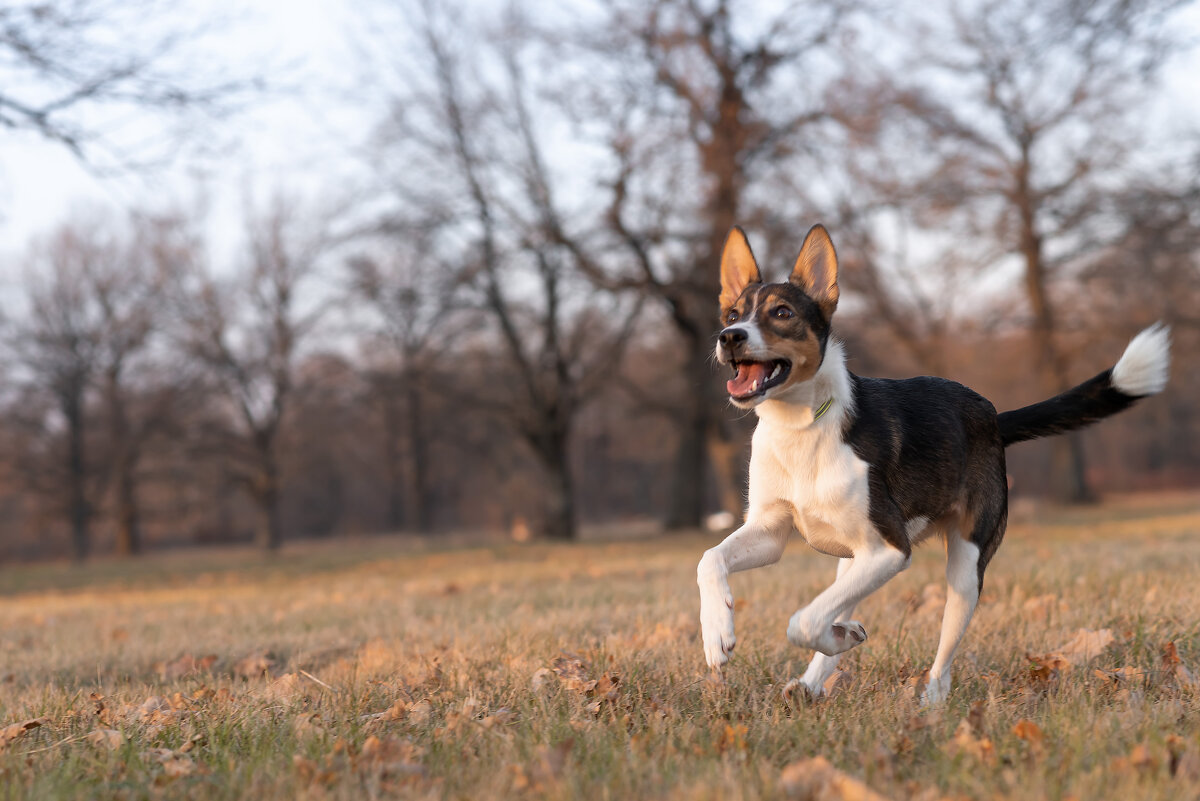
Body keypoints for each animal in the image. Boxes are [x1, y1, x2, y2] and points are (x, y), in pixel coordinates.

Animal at [700, 224, 1166, 700]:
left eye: (782, 312)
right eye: (732, 314)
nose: (730, 337)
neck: (801, 425)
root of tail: (993, 417)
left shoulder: (891, 550)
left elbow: (803, 620)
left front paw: (841, 636)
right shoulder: (772, 531)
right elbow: (710, 560)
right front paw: (717, 635)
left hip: (964, 568)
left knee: (940, 657)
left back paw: (927, 698)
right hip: (854, 560)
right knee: (835, 601)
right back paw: (813, 682)